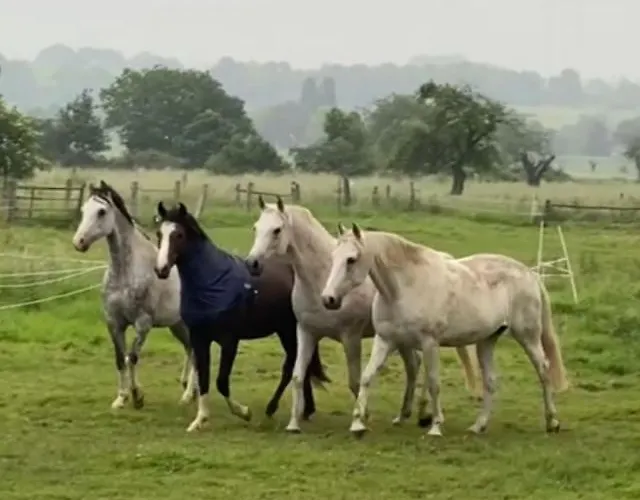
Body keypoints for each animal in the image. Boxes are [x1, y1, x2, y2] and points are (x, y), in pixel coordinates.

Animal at [71, 181, 196, 410]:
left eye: (102, 211)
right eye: (84, 210)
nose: (79, 242)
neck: (127, 272)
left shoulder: (142, 323)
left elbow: (133, 357)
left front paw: (137, 396)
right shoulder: (114, 323)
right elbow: (121, 359)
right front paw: (121, 398)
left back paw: (188, 394)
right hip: (177, 325)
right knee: (190, 349)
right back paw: (190, 390)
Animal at [154, 201, 329, 432]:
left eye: (179, 235)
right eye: (159, 233)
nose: (161, 269)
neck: (213, 282)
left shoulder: (229, 341)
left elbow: (221, 382)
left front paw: (244, 412)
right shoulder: (199, 339)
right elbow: (204, 378)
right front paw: (199, 420)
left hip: (289, 331)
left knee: (291, 366)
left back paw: (273, 408)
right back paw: (307, 410)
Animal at [244, 196, 479, 433]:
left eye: (277, 230)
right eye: (255, 227)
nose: (252, 263)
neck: (321, 278)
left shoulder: (351, 337)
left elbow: (355, 381)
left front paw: (362, 418)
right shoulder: (306, 332)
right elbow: (298, 376)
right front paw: (294, 424)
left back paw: (424, 415)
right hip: (402, 340)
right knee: (414, 366)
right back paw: (406, 414)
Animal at [321, 223, 569, 438]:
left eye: (351, 259)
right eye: (333, 257)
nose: (328, 299)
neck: (405, 287)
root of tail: (530, 274)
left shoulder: (429, 343)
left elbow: (433, 383)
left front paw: (435, 426)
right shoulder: (385, 340)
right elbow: (366, 377)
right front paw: (357, 424)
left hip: (528, 337)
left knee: (544, 371)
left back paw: (553, 422)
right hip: (487, 340)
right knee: (490, 381)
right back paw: (478, 426)